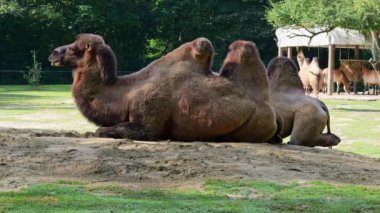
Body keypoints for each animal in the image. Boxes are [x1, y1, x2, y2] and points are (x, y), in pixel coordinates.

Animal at [49, 34, 278, 142]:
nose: (53, 53)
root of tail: (267, 105)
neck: (124, 93)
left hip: (255, 124)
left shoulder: (148, 117)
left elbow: (101, 130)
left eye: (74, 48)